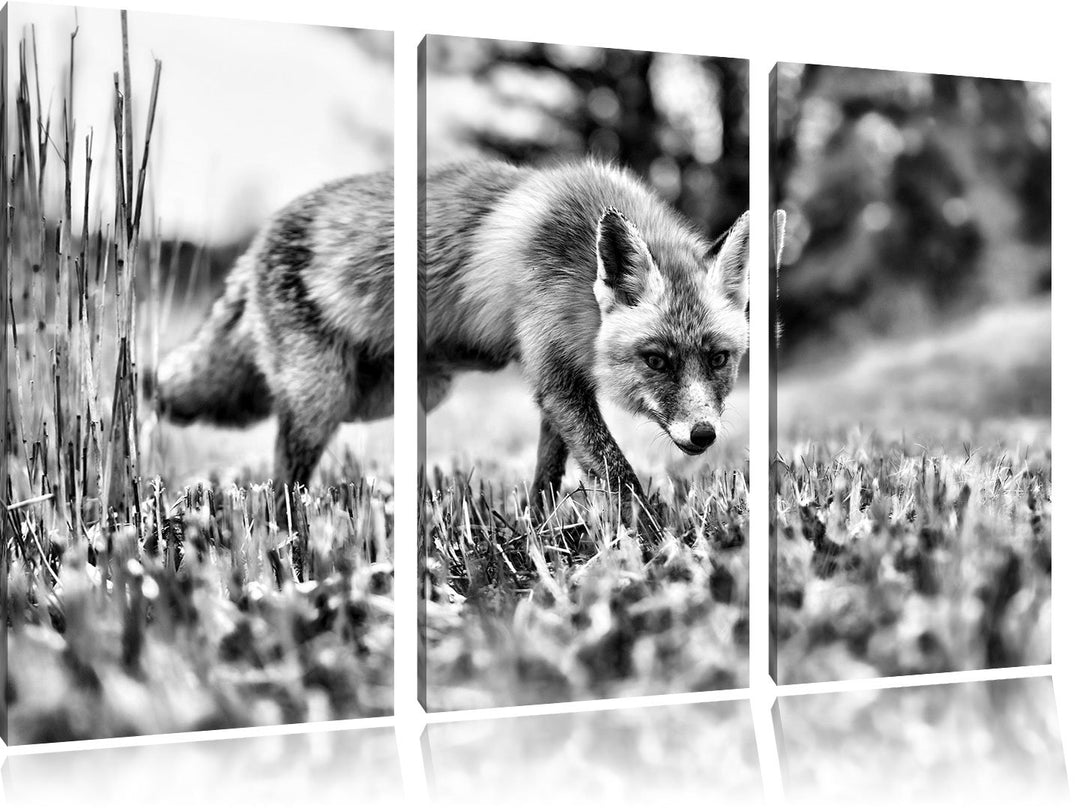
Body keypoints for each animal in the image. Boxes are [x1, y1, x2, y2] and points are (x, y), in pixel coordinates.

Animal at [153, 159, 749, 536]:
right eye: (657, 360)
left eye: (719, 359)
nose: (704, 434)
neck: (578, 267)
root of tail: (259, 238)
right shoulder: (557, 376)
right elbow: (618, 474)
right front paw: (657, 544)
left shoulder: (554, 382)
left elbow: (547, 478)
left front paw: (535, 537)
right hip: (324, 399)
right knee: (280, 483)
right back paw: (287, 539)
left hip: (395, 396)